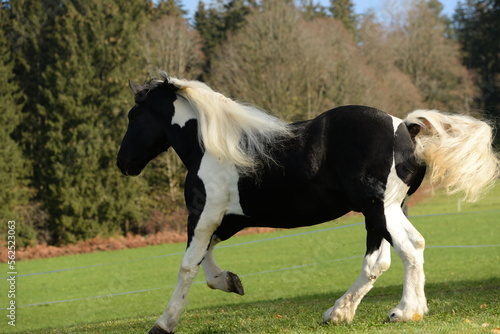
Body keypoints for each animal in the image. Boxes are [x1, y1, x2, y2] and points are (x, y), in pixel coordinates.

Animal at [116, 72, 496, 332]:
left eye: (133, 117)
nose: (123, 163)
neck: (211, 147)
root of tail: (406, 128)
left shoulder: (203, 214)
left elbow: (188, 265)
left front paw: (164, 323)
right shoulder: (228, 220)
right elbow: (206, 260)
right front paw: (231, 282)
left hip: (379, 209)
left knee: (407, 249)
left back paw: (403, 312)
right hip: (385, 211)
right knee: (386, 258)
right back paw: (342, 313)